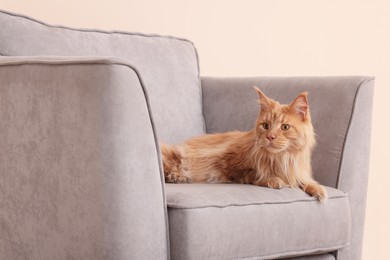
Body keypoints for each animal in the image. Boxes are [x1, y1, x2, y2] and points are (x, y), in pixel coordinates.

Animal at [160, 86, 328, 202]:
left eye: (285, 127)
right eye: (266, 126)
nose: (270, 136)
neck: (281, 159)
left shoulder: (296, 171)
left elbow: (303, 181)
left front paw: (318, 189)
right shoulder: (228, 165)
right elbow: (256, 175)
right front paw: (275, 180)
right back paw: (177, 177)